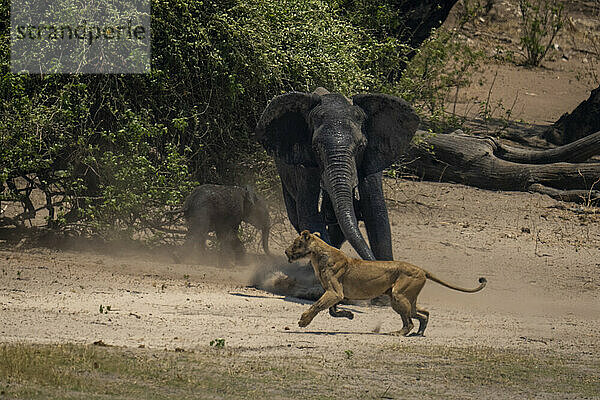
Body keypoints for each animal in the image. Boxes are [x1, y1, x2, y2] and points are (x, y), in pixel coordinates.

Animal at [255, 88, 420, 260]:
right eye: (316, 148)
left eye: (361, 147)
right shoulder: (307, 169)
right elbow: (310, 216)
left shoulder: (370, 164)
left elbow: (378, 218)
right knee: (295, 216)